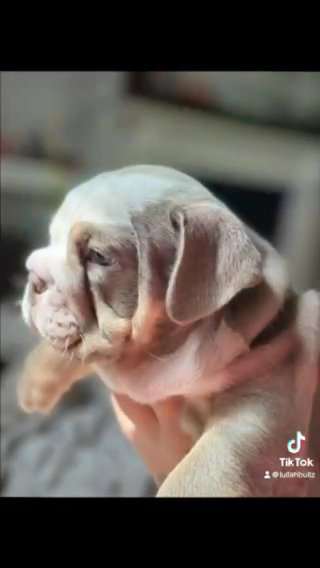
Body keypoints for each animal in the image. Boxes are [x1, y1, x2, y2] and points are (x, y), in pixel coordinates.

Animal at [18, 165, 318, 496]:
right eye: (52, 239)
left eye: (98, 256)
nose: (34, 276)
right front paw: (32, 382)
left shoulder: (260, 397)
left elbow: (202, 467)